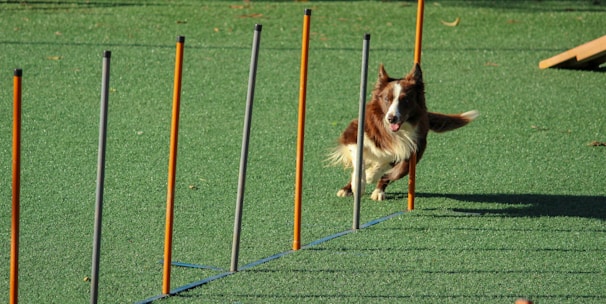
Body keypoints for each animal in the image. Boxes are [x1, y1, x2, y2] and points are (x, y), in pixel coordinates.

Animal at [332, 63, 480, 201]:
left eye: (405, 99)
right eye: (387, 99)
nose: (391, 118)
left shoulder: (411, 148)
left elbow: (390, 168)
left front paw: (371, 175)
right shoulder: (352, 133)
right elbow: (358, 159)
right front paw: (360, 183)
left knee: (390, 173)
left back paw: (378, 190)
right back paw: (347, 189)